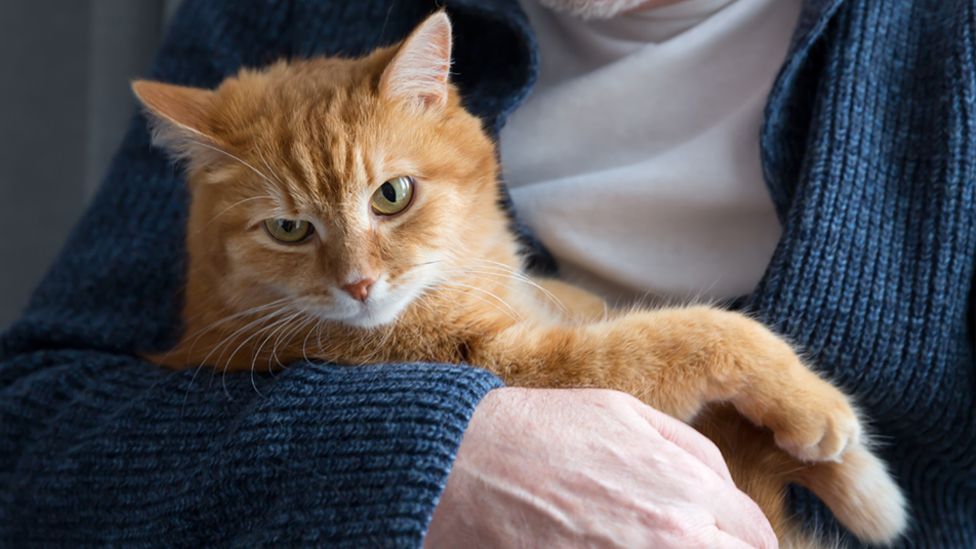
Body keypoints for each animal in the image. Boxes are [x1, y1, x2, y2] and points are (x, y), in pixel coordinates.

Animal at [135, 12, 908, 548]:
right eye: (290, 229)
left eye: (392, 195)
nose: (358, 284)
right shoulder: (536, 365)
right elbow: (697, 332)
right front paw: (833, 433)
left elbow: (588, 301)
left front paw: (848, 470)